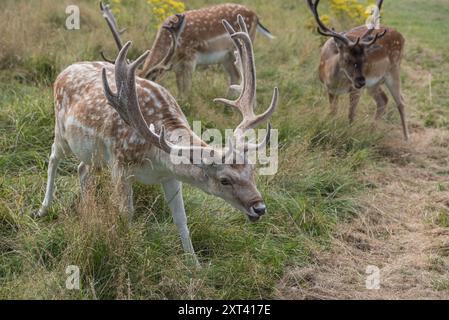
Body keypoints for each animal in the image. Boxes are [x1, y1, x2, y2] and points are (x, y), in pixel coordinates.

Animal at [36, 15, 278, 266]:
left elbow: (181, 218)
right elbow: (126, 214)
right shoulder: (120, 165)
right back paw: (43, 208)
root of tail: (64, 70)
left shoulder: (170, 177)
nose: (259, 207)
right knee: (53, 158)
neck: (154, 159)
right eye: (224, 180)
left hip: (92, 153)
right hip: (61, 131)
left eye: (252, 170)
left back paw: (85, 208)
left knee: (82, 168)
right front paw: (128, 252)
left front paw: (195, 264)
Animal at [102, 2, 274, 97]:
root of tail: (256, 16)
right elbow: (180, 89)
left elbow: (185, 92)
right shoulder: (177, 66)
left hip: (244, 45)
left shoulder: (191, 59)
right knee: (235, 75)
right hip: (226, 57)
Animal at [306, 0, 408, 140]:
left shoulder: (355, 90)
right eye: (347, 58)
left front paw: (349, 135)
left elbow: (351, 115)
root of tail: (402, 36)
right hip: (373, 83)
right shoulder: (330, 90)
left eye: (364, 58)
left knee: (401, 101)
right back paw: (371, 131)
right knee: (383, 100)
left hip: (394, 70)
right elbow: (333, 113)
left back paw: (406, 139)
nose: (360, 81)